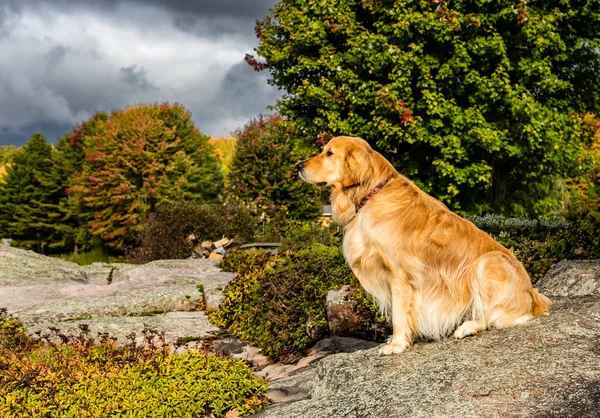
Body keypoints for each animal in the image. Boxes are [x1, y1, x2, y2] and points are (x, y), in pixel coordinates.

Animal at [298, 136, 552, 354]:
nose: (298, 165)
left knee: (494, 316)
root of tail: (533, 295)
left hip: (486, 264)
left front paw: (397, 344)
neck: (371, 194)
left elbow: (399, 314)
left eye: (329, 153)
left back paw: (467, 327)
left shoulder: (400, 276)